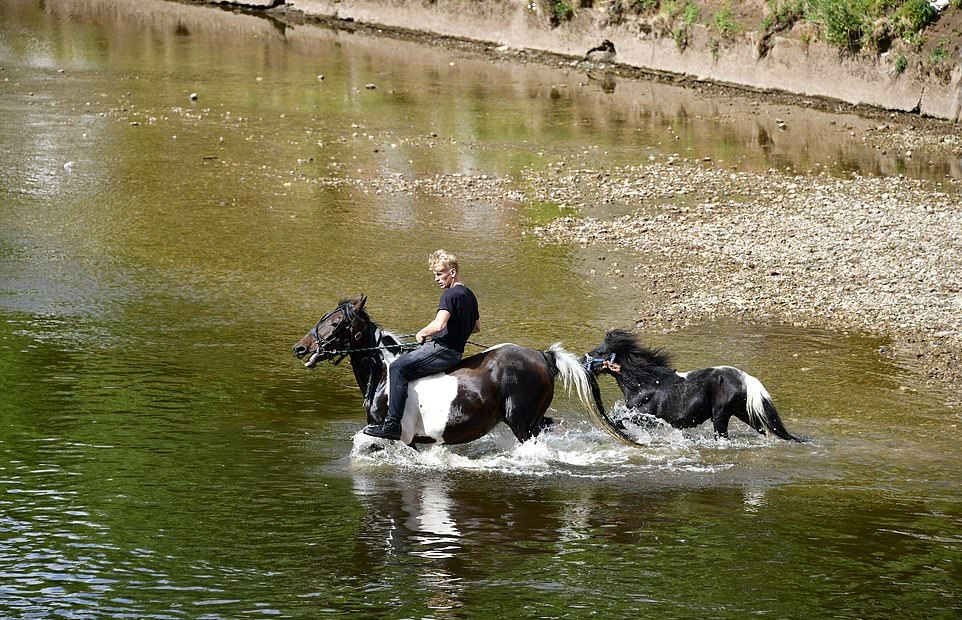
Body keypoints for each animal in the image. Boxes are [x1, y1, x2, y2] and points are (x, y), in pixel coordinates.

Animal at [286, 296, 632, 446]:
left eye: (336, 323)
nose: (300, 348)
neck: (383, 373)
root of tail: (543, 356)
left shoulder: (398, 438)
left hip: (522, 423)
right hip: (534, 420)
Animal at [580, 330, 800, 440]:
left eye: (600, 352)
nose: (582, 361)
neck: (644, 384)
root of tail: (747, 379)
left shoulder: (644, 416)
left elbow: (618, 419)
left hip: (721, 415)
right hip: (743, 413)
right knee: (766, 430)